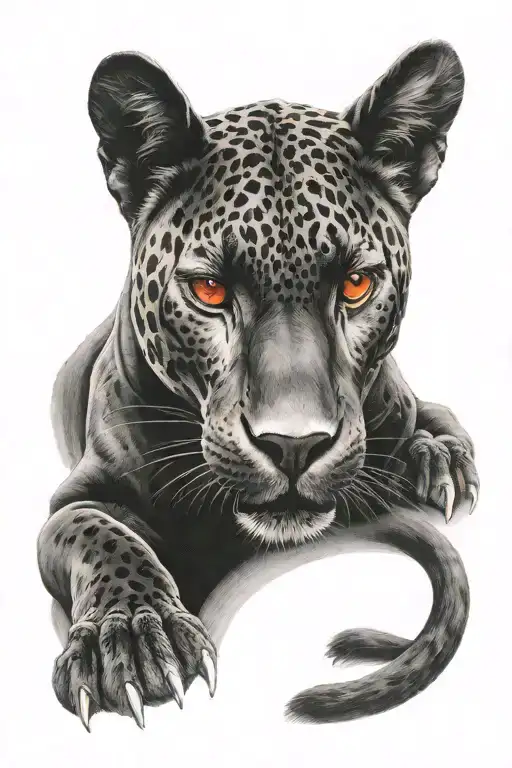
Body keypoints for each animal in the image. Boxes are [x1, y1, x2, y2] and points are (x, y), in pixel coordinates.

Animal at [37, 39, 479, 730]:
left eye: (356, 283)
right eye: (210, 289)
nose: (294, 446)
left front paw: (434, 455)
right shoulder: (79, 493)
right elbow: (97, 531)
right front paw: (133, 633)